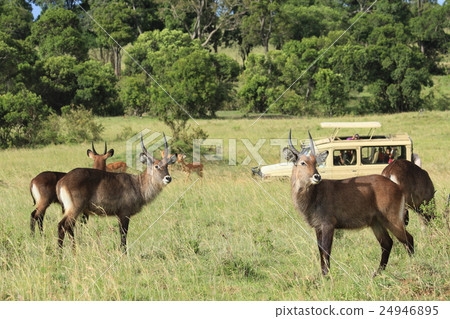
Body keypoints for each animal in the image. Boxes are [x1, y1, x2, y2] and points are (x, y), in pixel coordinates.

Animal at [284, 131, 414, 276]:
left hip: (392, 219)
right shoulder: (318, 227)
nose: (317, 177)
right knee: (387, 243)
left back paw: (412, 265)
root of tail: (396, 186)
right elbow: (320, 250)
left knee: (408, 239)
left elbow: (326, 250)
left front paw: (327, 275)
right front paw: (323, 274)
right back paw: (377, 273)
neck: (314, 195)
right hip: (376, 222)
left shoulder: (328, 224)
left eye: (315, 162)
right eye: (302, 162)